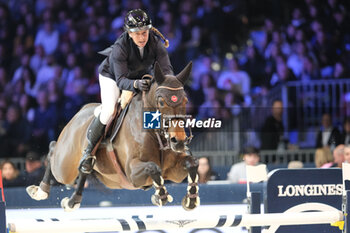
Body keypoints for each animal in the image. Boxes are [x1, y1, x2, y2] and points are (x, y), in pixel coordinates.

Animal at [26, 62, 200, 211]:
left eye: (185, 100)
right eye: (161, 101)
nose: (178, 141)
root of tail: (80, 111)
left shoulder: (173, 173)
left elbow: (192, 164)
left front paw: (190, 200)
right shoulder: (132, 173)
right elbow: (153, 167)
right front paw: (160, 197)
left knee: (84, 170)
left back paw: (72, 201)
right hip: (65, 167)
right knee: (53, 150)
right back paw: (41, 191)